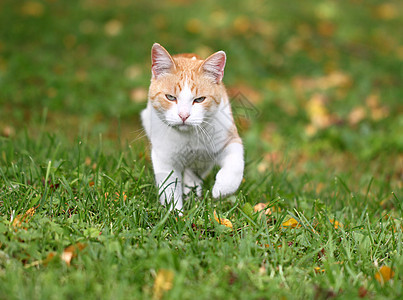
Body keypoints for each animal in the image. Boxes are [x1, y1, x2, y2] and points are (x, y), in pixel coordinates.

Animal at [140, 43, 245, 213]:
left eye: (200, 99)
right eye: (170, 97)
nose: (184, 115)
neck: (188, 137)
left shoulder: (228, 139)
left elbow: (235, 163)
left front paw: (222, 189)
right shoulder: (164, 158)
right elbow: (169, 187)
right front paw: (175, 213)